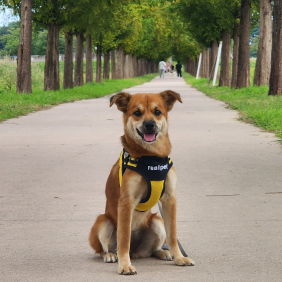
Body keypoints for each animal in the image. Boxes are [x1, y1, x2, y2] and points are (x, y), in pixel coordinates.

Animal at [89, 89, 195, 274]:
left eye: (157, 112)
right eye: (137, 113)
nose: (149, 125)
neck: (151, 157)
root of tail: (136, 251)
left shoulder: (169, 199)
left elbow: (173, 235)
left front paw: (179, 257)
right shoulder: (126, 202)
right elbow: (124, 239)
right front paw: (125, 265)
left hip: (157, 222)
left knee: (152, 250)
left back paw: (163, 252)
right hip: (103, 221)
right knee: (105, 248)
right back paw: (110, 255)